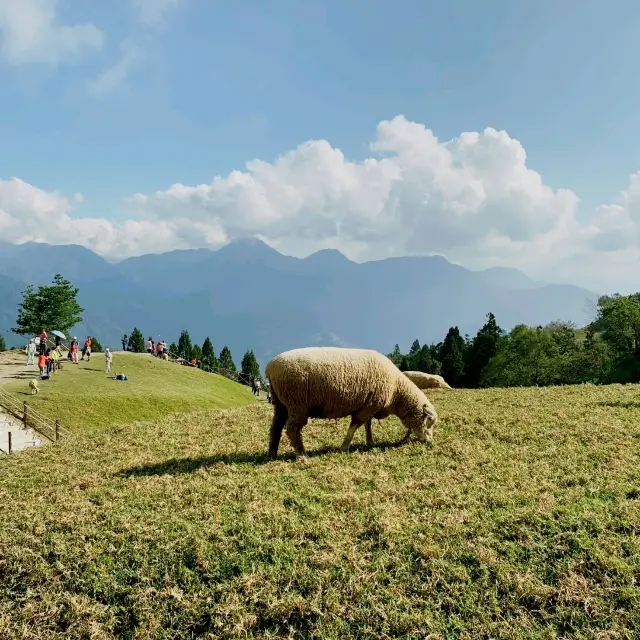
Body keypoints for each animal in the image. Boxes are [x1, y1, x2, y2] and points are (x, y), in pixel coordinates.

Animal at [262, 344, 438, 460]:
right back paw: (302, 455)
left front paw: (370, 442)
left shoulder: (369, 404)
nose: (429, 441)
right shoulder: (368, 406)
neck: (396, 391)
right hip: (297, 404)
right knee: (292, 428)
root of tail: (269, 368)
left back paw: (272, 454)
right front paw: (344, 447)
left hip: (281, 403)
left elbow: (368, 425)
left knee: (276, 426)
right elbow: (355, 426)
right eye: (429, 421)